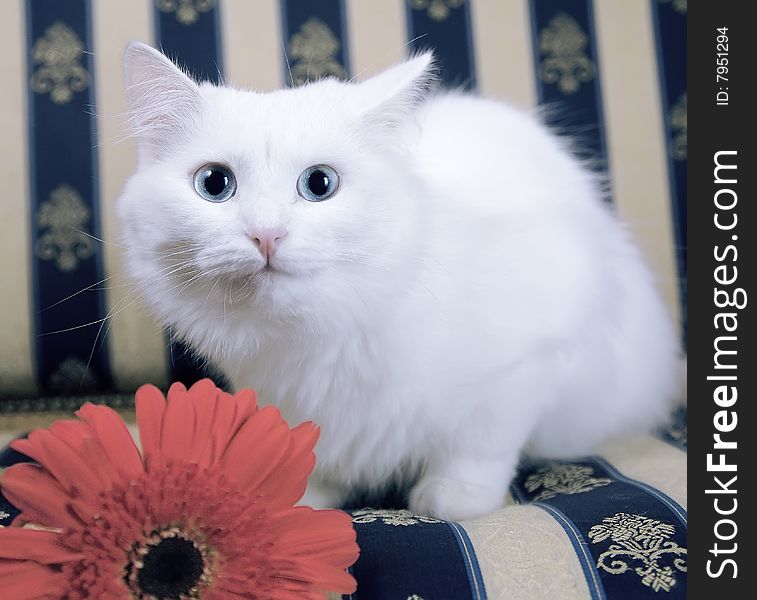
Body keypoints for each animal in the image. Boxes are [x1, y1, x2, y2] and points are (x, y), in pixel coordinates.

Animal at [116, 43, 680, 520]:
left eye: (319, 184)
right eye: (215, 184)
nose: (266, 235)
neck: (323, 338)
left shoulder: (525, 366)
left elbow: (478, 446)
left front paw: (454, 498)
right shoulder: (293, 402)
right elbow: (312, 456)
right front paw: (308, 498)